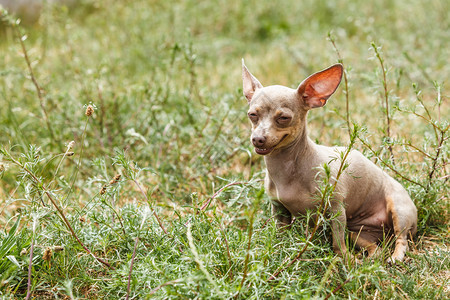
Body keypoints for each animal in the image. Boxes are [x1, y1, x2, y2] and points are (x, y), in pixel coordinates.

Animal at [243, 59, 418, 262]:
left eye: (284, 118)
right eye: (252, 115)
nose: (258, 139)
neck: (287, 169)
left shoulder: (336, 211)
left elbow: (337, 244)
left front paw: (345, 260)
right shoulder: (279, 210)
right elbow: (281, 236)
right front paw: (279, 252)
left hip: (399, 210)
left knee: (402, 239)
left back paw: (395, 257)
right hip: (356, 233)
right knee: (376, 247)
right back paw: (369, 258)